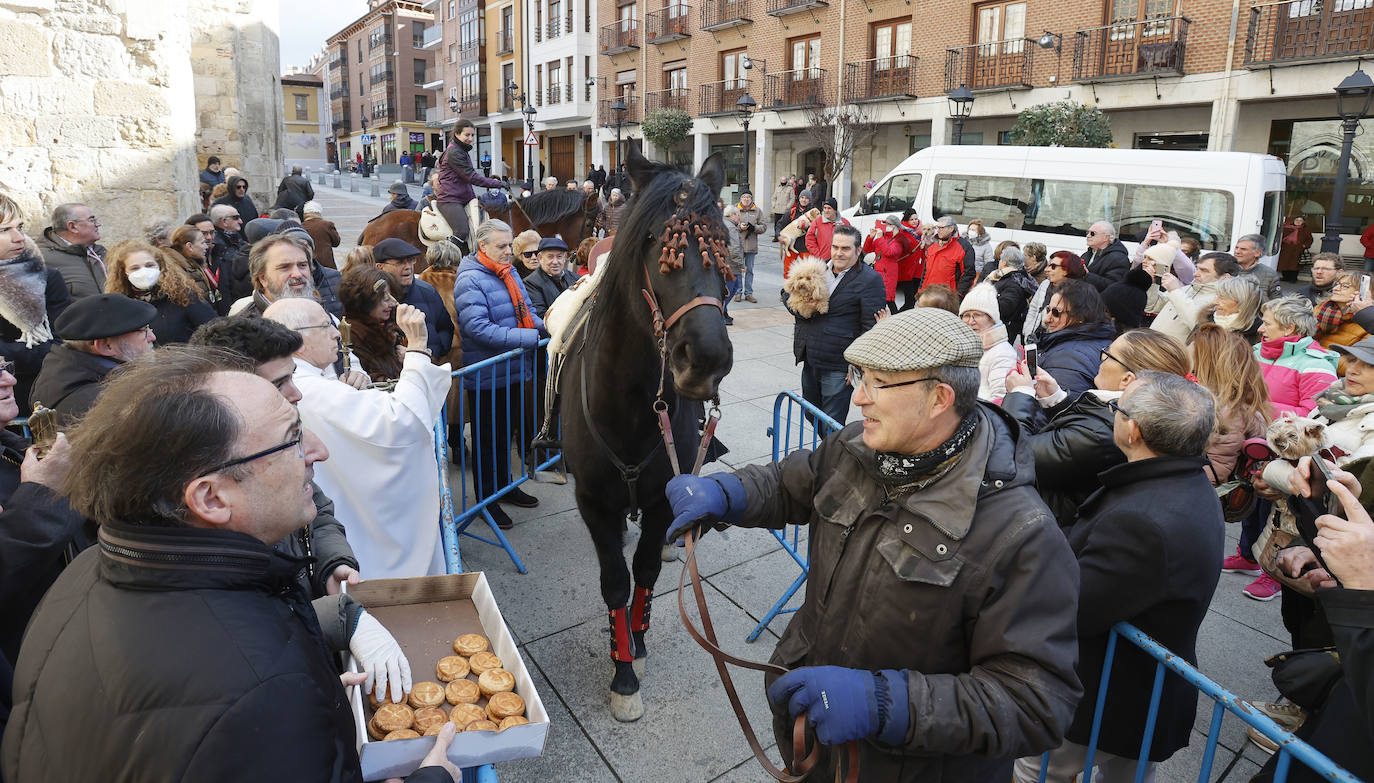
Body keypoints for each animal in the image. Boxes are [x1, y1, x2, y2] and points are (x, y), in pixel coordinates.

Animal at [557, 147, 736, 719]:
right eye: (661, 244)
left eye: (722, 244)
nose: (706, 360)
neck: (635, 406)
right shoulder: (594, 502)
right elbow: (616, 580)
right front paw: (623, 673)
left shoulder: (660, 500)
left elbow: (647, 571)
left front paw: (636, 638)